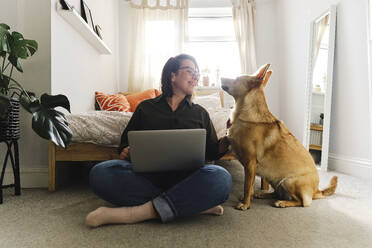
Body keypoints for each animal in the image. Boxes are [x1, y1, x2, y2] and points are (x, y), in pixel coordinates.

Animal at [219, 63, 338, 209]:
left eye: (236, 78)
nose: (220, 77)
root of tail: (316, 191)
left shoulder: (250, 163)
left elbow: (247, 186)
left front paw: (245, 204)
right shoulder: (250, 166)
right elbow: (250, 185)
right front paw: (249, 197)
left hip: (288, 181)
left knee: (301, 202)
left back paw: (283, 202)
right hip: (275, 180)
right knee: (277, 193)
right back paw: (263, 194)